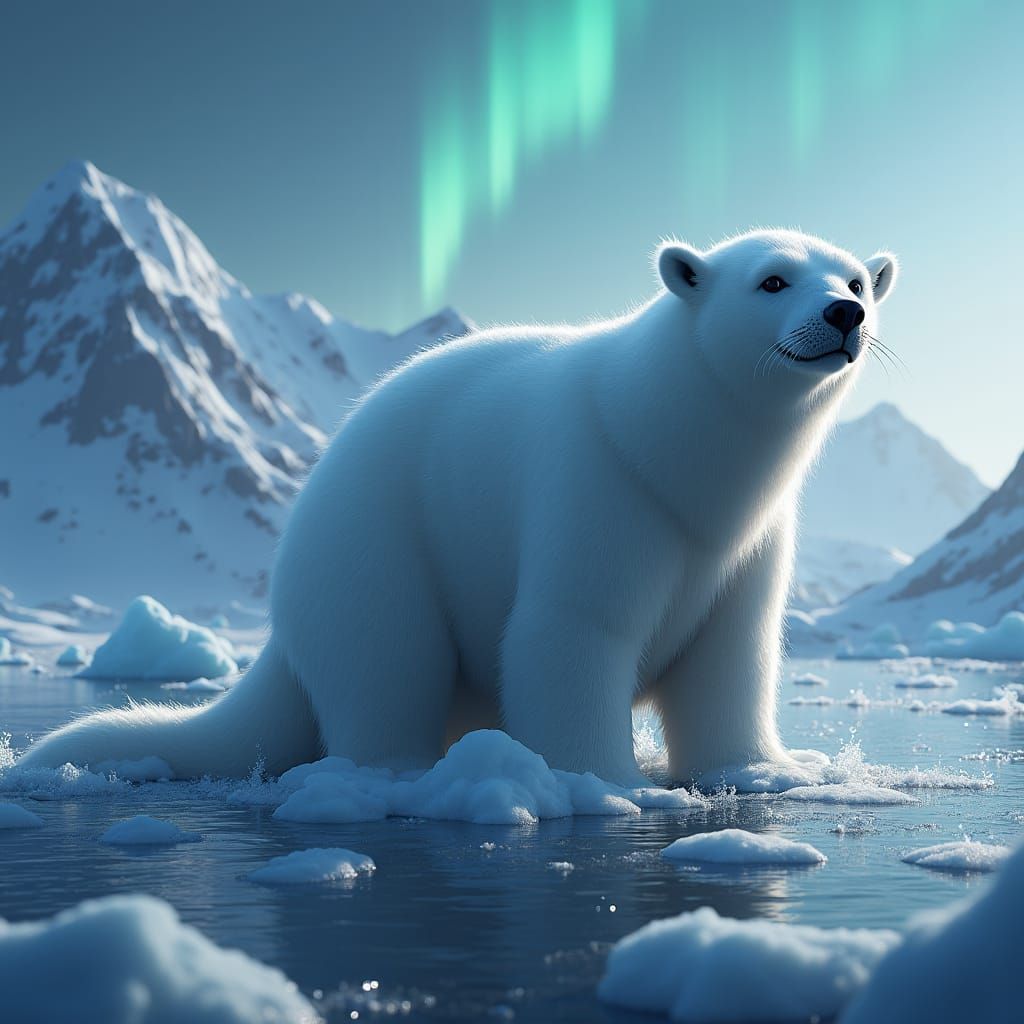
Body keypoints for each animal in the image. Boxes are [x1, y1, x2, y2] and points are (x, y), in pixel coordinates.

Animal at [20, 229, 898, 790]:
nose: (845, 315)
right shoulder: (596, 483)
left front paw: (759, 771)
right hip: (375, 539)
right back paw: (397, 770)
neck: (663, 439)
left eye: (856, 279)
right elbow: (571, 627)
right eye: (772, 279)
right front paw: (607, 783)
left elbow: (731, 651)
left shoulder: (746, 538)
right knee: (387, 656)